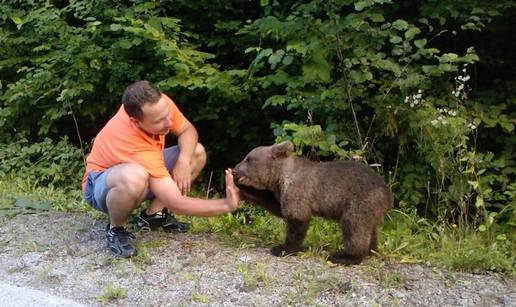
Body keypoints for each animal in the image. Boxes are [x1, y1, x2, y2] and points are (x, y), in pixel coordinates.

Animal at [232, 142, 394, 264]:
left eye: (248, 158)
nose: (234, 169)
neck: (281, 177)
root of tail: (388, 195)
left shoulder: (297, 192)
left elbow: (296, 221)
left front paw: (282, 249)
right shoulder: (282, 194)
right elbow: (277, 206)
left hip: (361, 202)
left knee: (354, 228)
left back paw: (344, 257)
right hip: (371, 209)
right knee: (369, 230)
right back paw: (372, 251)